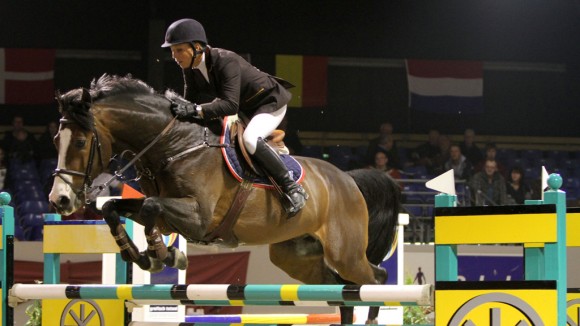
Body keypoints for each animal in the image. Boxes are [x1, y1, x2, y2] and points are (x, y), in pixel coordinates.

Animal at [49, 74, 402, 324]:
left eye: (80, 142)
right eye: (55, 140)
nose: (59, 200)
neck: (175, 145)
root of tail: (349, 179)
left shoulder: (198, 217)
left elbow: (149, 207)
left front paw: (164, 255)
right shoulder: (169, 215)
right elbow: (114, 208)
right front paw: (146, 256)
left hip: (345, 252)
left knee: (375, 279)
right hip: (296, 257)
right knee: (341, 290)